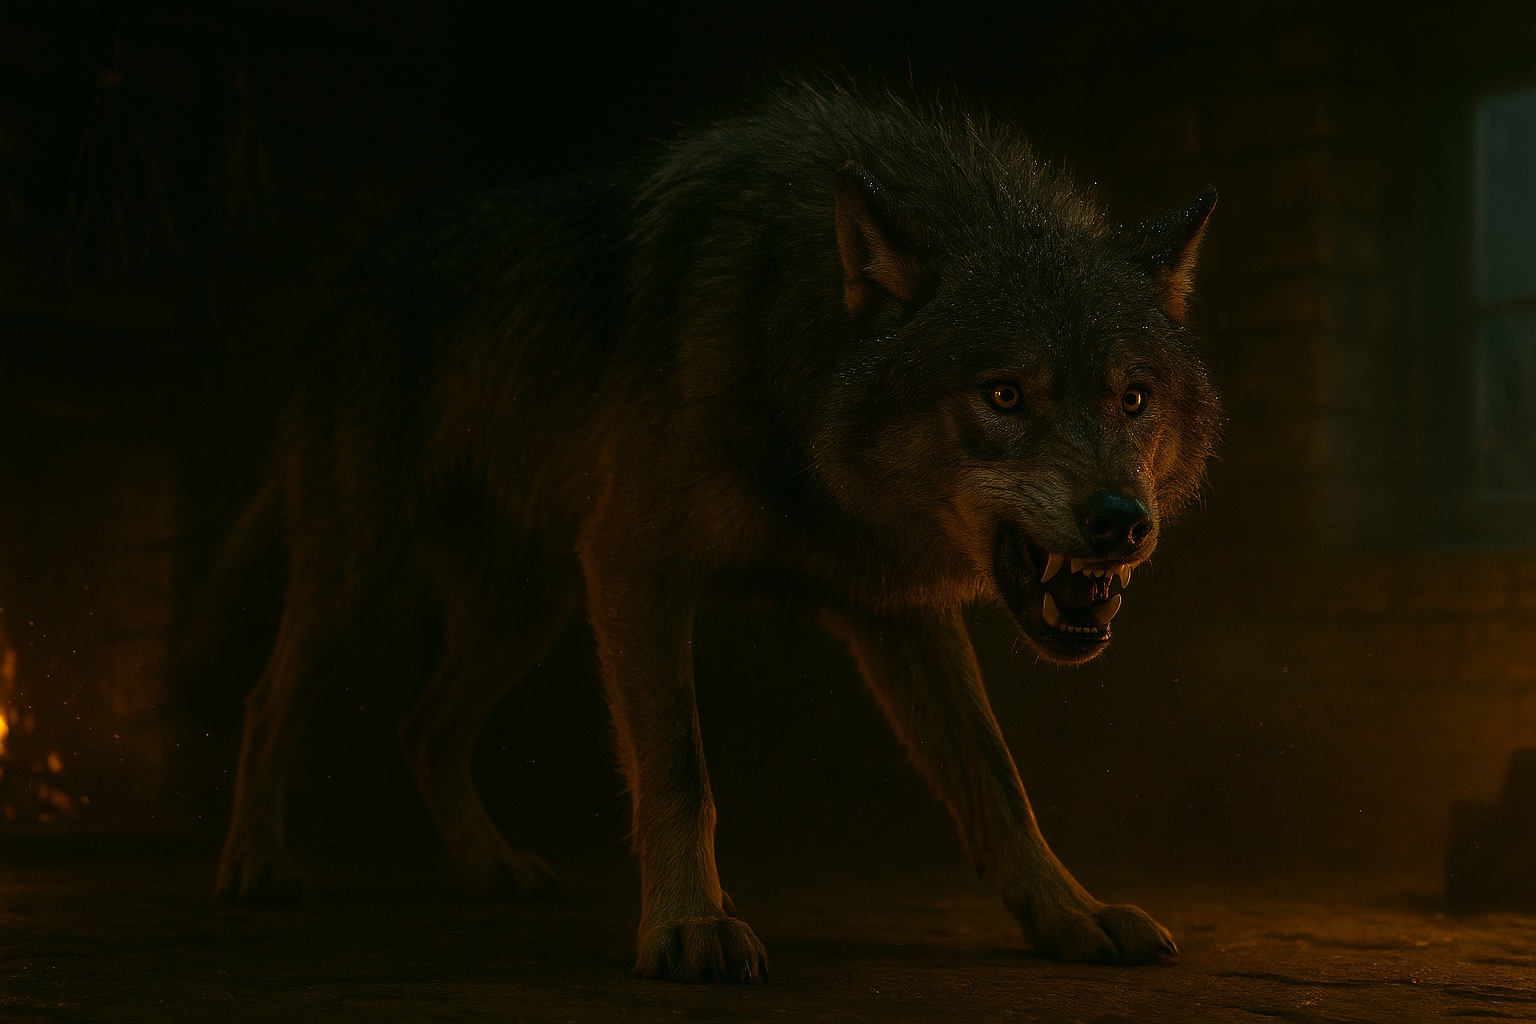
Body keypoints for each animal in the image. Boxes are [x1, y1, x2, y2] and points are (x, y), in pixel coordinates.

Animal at [205, 80, 1220, 981]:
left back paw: (490, 869)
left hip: (530, 610)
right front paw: (690, 925)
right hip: (359, 572)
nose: (1122, 523)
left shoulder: (892, 608)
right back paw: (255, 862)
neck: (798, 365)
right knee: (269, 699)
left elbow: (996, 776)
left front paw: (1070, 913)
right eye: (1004, 396)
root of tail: (362, 268)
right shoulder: (636, 568)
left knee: (423, 726)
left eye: (1133, 399)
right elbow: (679, 773)